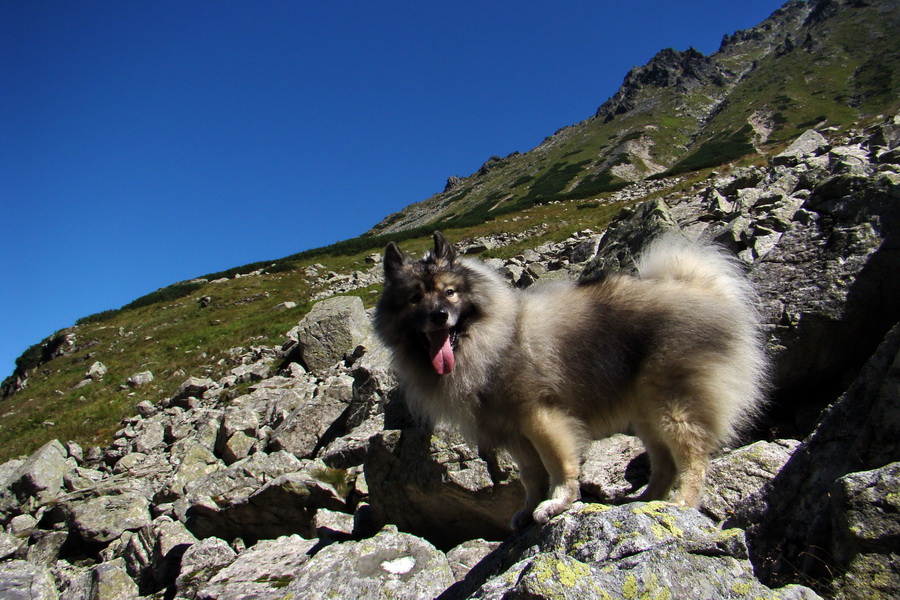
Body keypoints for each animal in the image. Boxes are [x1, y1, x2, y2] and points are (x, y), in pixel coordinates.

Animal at [372, 232, 768, 528]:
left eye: (450, 292)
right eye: (415, 298)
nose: (439, 315)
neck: (494, 338)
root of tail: (702, 290)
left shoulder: (539, 416)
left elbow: (557, 464)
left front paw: (557, 502)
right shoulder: (513, 433)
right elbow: (531, 476)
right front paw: (526, 510)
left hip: (673, 407)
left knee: (693, 460)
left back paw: (680, 504)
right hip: (647, 414)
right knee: (665, 464)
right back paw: (645, 501)